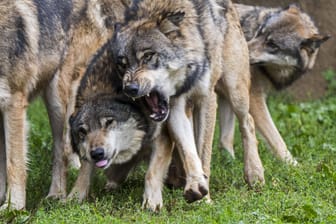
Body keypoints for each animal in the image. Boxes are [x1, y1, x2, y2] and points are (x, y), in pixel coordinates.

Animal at [0, 0, 129, 210]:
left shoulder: (13, 101)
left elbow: (14, 163)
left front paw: (14, 207)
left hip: (59, 95)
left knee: (65, 150)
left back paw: (66, 195)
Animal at [110, 0, 262, 207]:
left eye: (148, 56)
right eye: (122, 64)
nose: (130, 88)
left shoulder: (207, 99)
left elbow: (203, 153)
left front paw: (205, 199)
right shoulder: (176, 107)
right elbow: (190, 152)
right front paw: (196, 186)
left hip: (235, 91)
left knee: (248, 122)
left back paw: (255, 174)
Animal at [217, 3, 330, 163]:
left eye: (272, 44)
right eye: (259, 32)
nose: (241, 52)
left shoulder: (230, 94)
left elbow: (226, 138)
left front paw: (229, 162)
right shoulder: (253, 97)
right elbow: (276, 139)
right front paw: (293, 165)